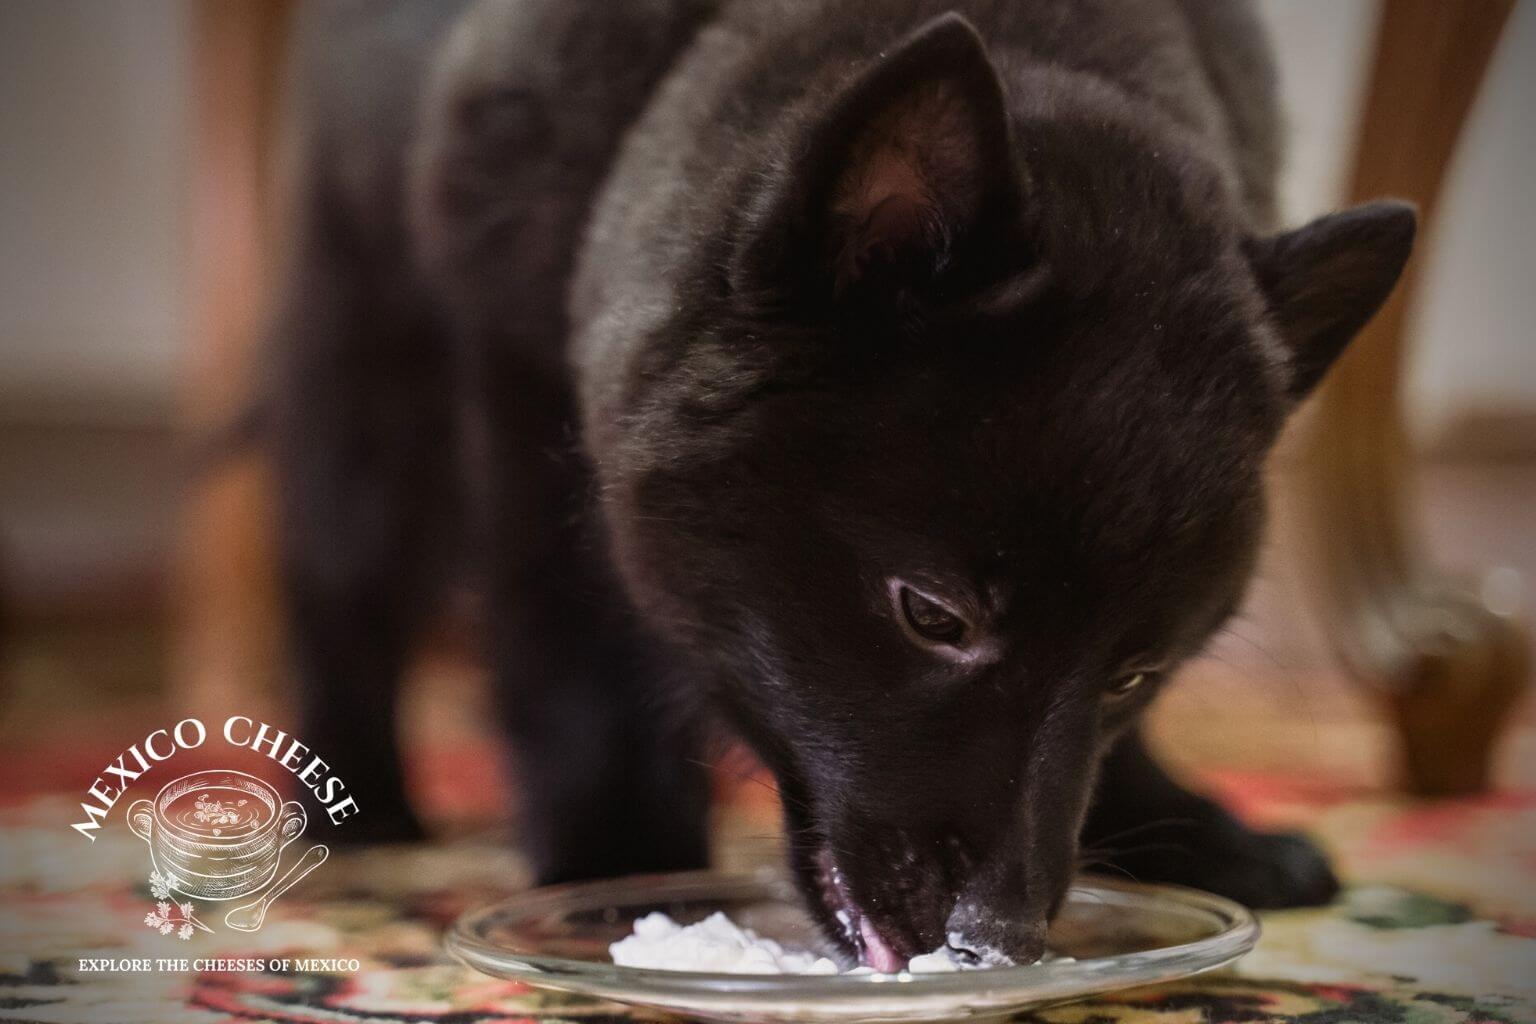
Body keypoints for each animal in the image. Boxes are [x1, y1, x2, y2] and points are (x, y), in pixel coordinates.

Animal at [270, 0, 1406, 970]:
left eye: (1138, 673)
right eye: (932, 614)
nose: (998, 942)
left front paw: (1190, 830)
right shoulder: (523, 388)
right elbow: (575, 667)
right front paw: (621, 868)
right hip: (371, 369)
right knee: (342, 590)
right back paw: (361, 801)